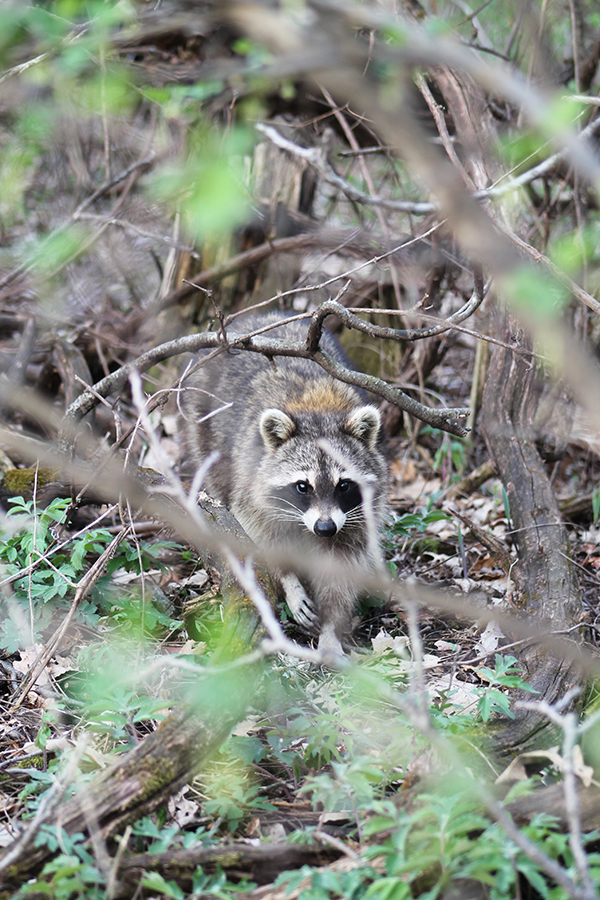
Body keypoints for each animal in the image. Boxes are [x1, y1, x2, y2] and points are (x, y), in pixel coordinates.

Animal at [180, 312, 390, 656]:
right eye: (303, 486)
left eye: (344, 485)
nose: (324, 528)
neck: (319, 411)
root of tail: (257, 317)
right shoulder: (253, 488)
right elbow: (259, 537)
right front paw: (289, 583)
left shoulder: (353, 519)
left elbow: (341, 570)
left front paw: (331, 629)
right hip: (202, 423)